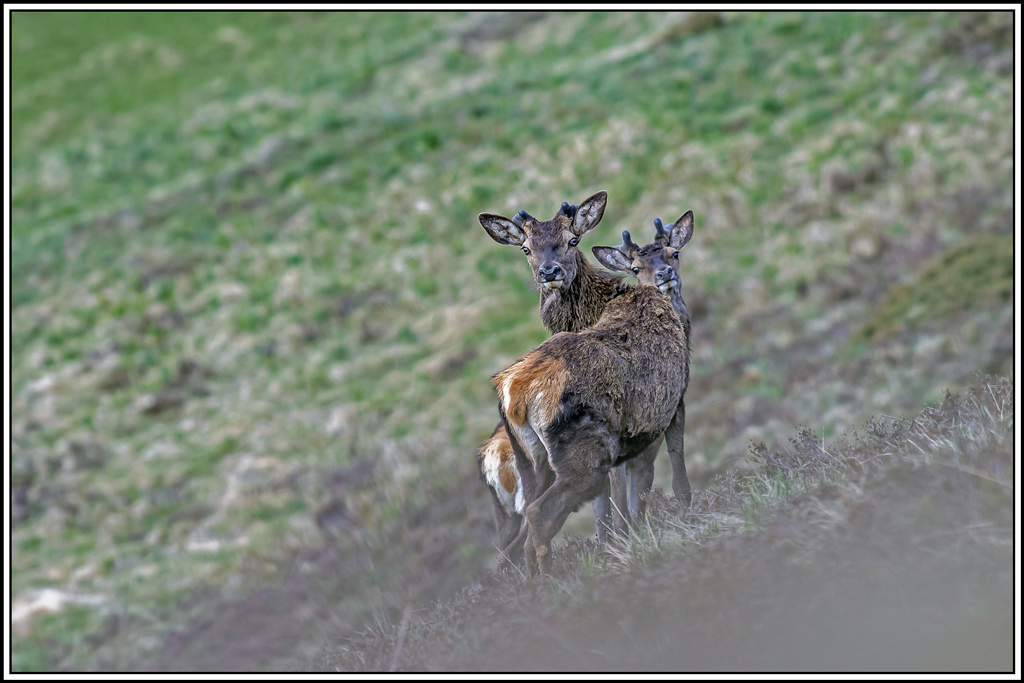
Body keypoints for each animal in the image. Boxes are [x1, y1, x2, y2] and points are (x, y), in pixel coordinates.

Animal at [492, 212, 695, 576]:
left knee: (519, 532)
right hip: (584, 452)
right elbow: (666, 475)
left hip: (532, 462)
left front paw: (620, 543)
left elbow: (622, 501)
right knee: (540, 514)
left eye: (675, 253)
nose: (665, 274)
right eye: (635, 267)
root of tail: (514, 393)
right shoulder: (671, 405)